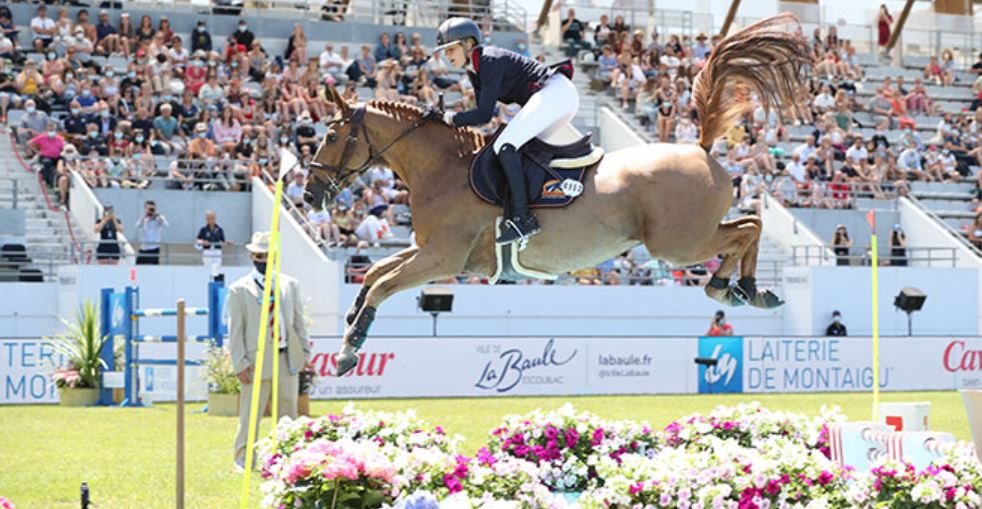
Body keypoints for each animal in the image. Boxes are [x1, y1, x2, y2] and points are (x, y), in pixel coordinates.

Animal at [312, 13, 812, 376]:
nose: (313, 192)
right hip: (688, 238)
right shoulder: (429, 250)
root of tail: (701, 148)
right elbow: (375, 272)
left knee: (746, 229)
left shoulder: (442, 257)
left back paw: (728, 286)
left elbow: (383, 283)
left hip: (678, 243)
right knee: (749, 225)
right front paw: (351, 323)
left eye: (332, 136)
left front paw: (349, 350)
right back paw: (745, 288)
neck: (442, 167)